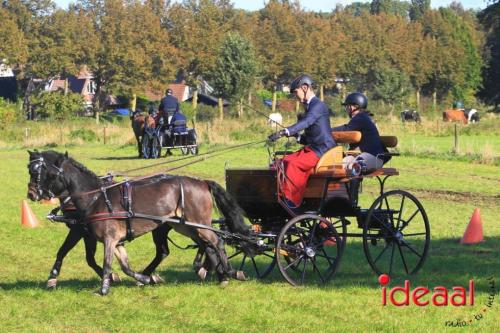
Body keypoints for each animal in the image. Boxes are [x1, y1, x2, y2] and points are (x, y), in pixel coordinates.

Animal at [27, 150, 250, 294]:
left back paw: (228, 272)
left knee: (217, 241)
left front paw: (104, 288)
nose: (32, 194)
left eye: (49, 173)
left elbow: (104, 262)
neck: (96, 197)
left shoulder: (106, 238)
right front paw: (144, 279)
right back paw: (216, 274)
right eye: (30, 170)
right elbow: (124, 266)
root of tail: (202, 182)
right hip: (184, 226)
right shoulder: (113, 240)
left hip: (195, 224)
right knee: (205, 245)